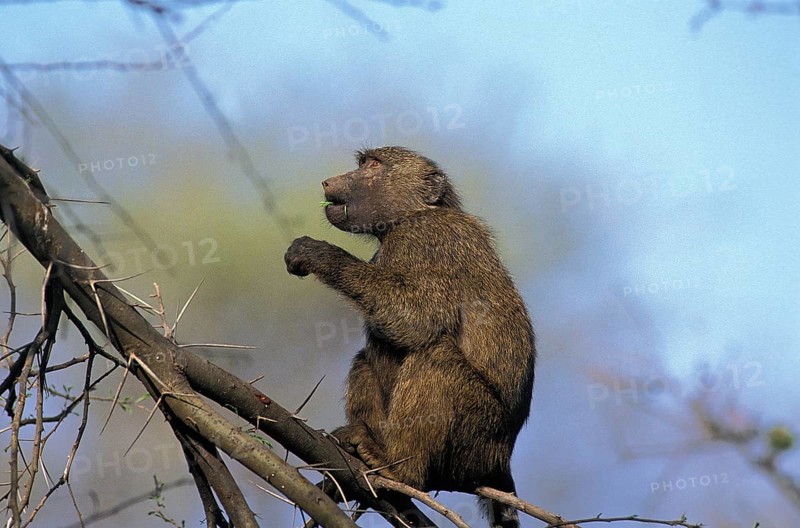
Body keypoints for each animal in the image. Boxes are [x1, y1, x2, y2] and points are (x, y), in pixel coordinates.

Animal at [284, 146, 535, 528]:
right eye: (363, 163)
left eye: (373, 165)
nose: (328, 182)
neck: (416, 214)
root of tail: (500, 461)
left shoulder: (424, 239)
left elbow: (420, 319)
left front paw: (319, 254)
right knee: (365, 358)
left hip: (477, 437)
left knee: (434, 357)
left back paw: (399, 468)